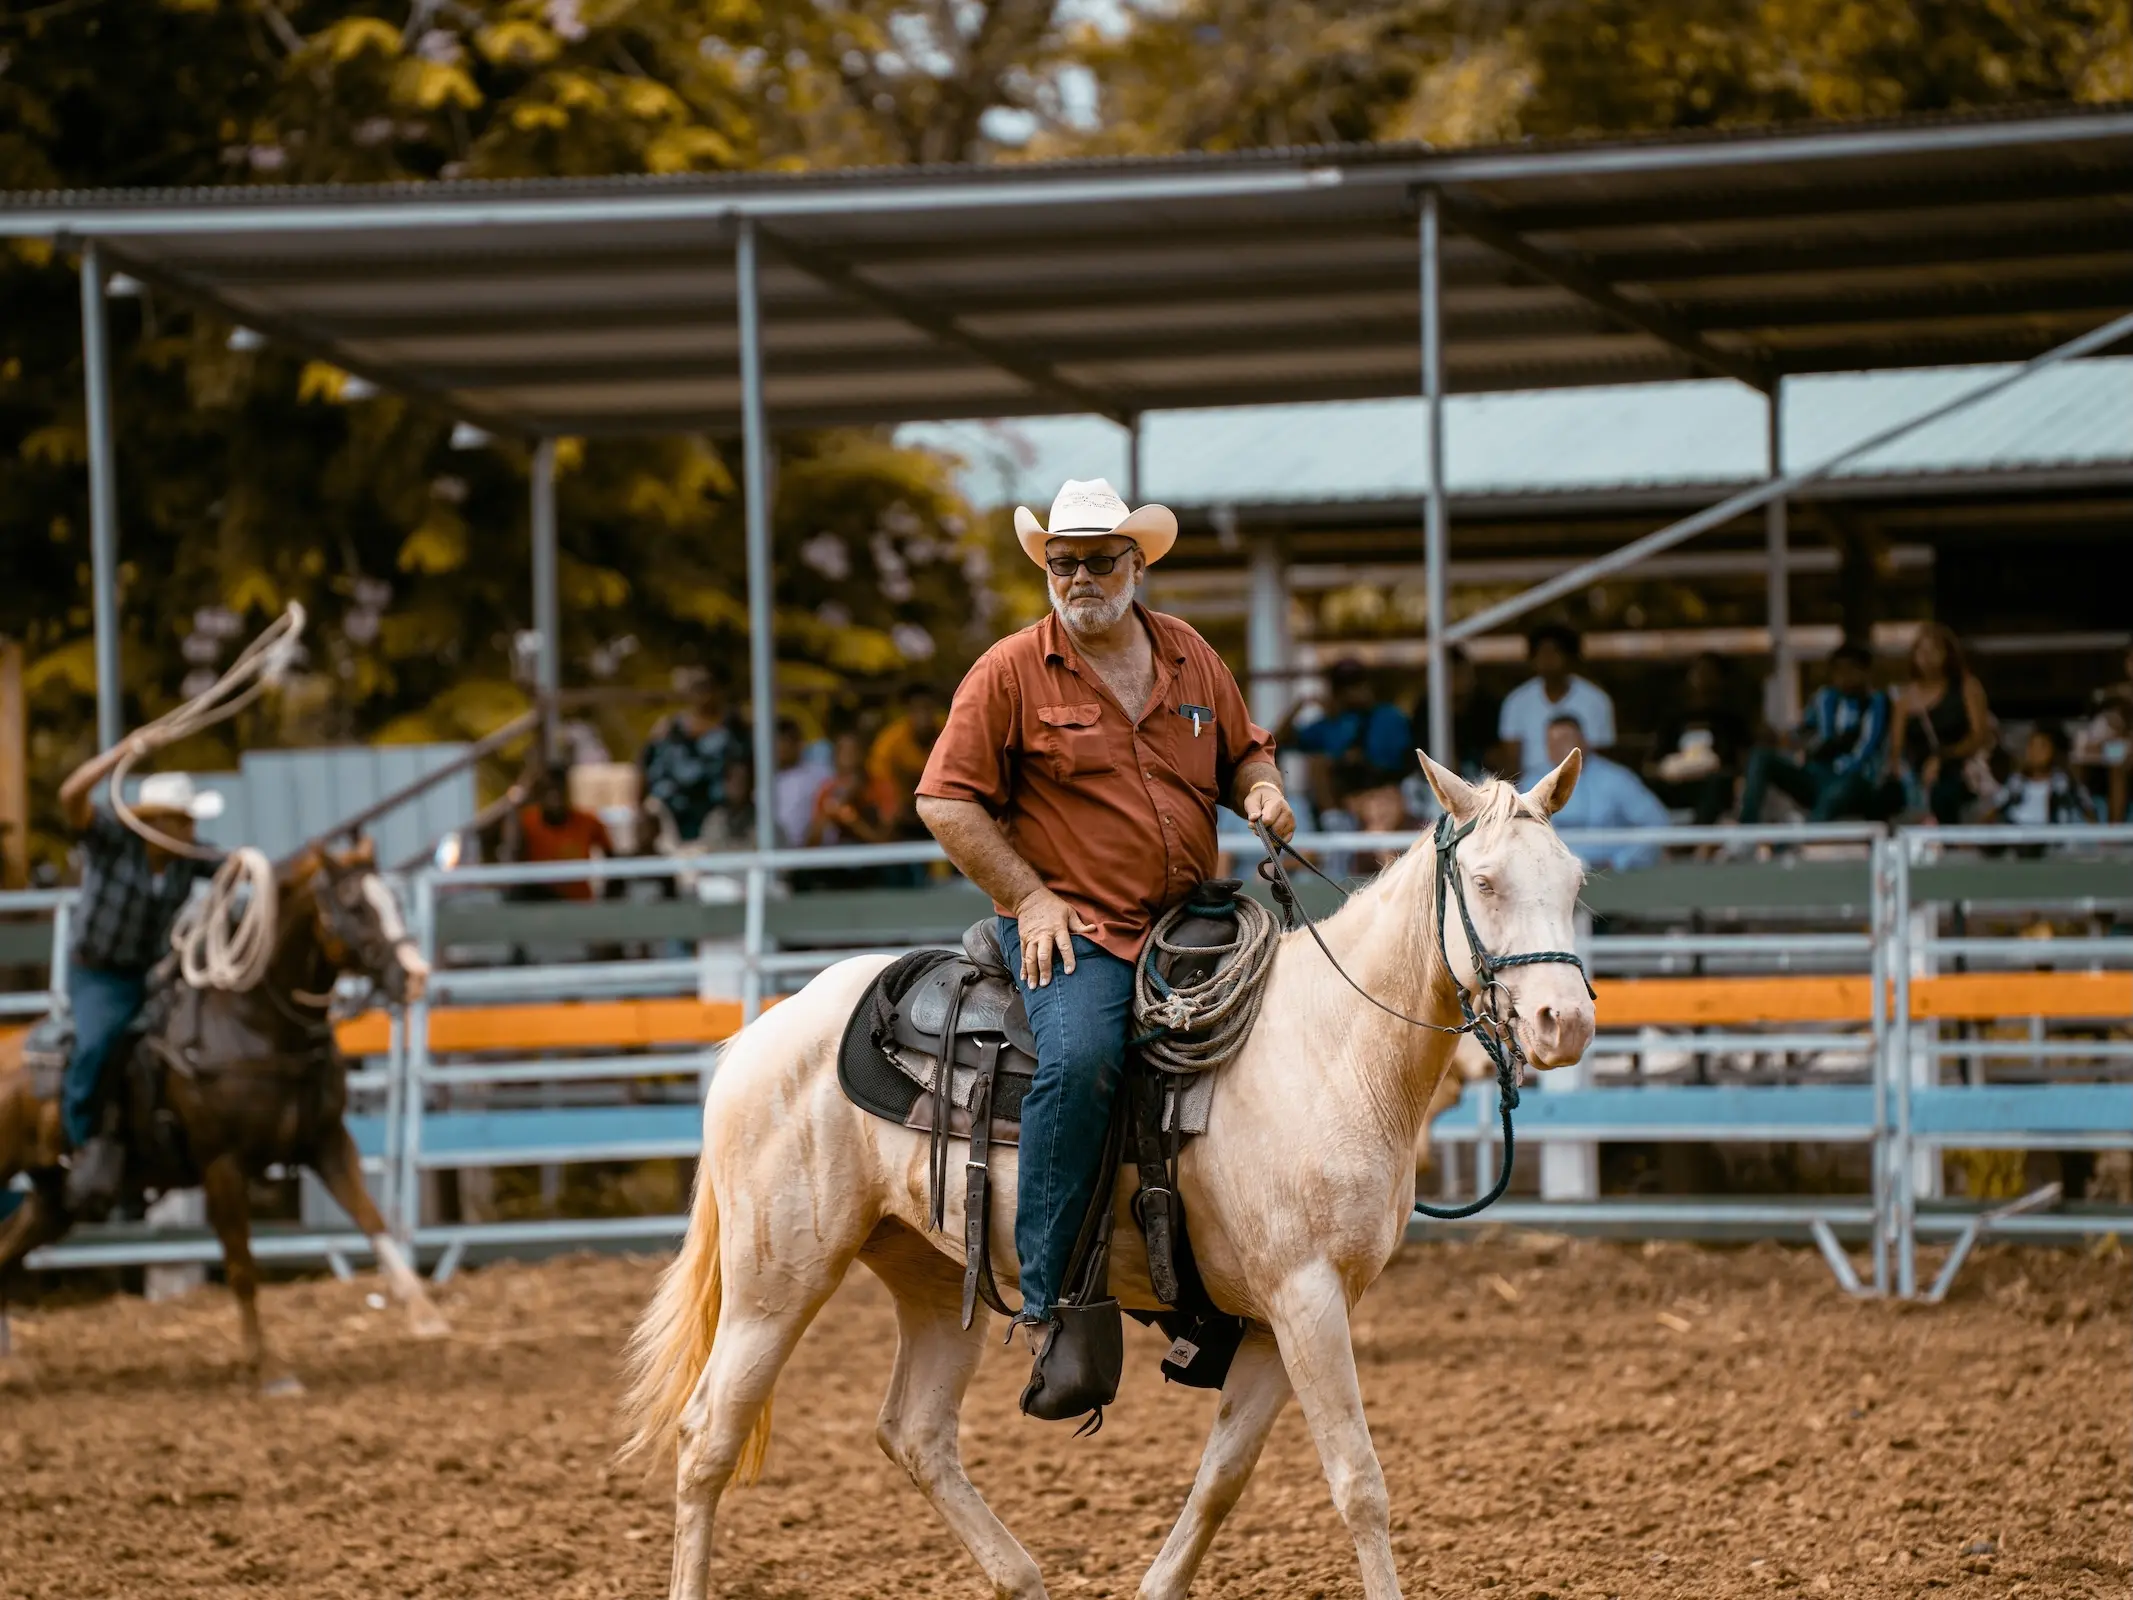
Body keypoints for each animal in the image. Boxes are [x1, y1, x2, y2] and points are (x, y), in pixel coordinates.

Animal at [0, 836, 448, 1391]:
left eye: (393, 901)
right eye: (356, 907)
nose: (415, 975)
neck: (254, 1025)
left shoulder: (328, 1142)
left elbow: (373, 1220)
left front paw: (426, 1314)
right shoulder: (222, 1165)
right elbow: (241, 1266)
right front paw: (269, 1370)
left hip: (55, 1199)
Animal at [619, 753, 1596, 1600]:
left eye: (1575, 882)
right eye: (1484, 884)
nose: (1565, 1022)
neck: (1329, 1048)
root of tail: (762, 1034)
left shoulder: (1278, 1318)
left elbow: (1221, 1478)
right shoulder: (1306, 1297)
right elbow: (1358, 1481)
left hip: (928, 1271)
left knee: (915, 1433)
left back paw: (1021, 1578)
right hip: (776, 1278)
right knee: (707, 1439)